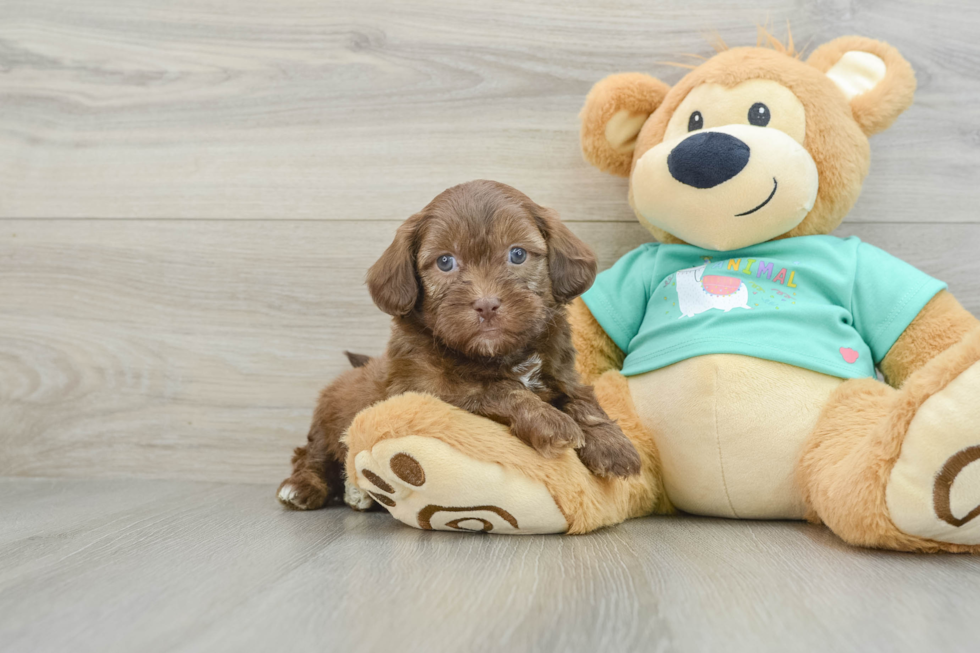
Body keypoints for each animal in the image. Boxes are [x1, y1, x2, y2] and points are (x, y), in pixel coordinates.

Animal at [278, 178, 644, 510]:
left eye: (517, 254)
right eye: (445, 261)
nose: (486, 304)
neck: (499, 354)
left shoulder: (562, 373)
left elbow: (582, 400)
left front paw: (613, 445)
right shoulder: (427, 389)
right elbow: (497, 389)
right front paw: (550, 422)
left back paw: (358, 494)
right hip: (327, 422)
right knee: (310, 455)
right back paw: (302, 487)